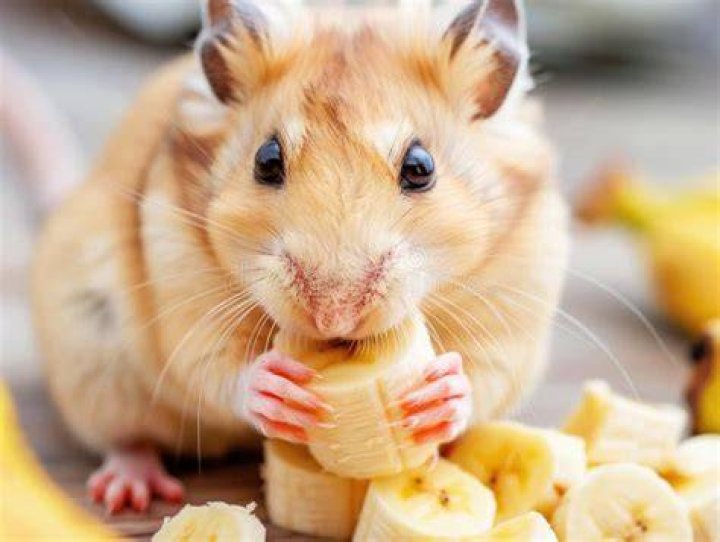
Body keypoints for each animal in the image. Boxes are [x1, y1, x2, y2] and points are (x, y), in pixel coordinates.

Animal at [32, 0, 568, 513]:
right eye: (266, 161)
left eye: (421, 167)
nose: (334, 316)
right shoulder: (184, 295)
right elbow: (216, 368)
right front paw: (274, 387)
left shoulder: (513, 312)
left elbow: (484, 377)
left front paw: (443, 395)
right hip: (92, 349)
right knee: (126, 435)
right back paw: (130, 488)